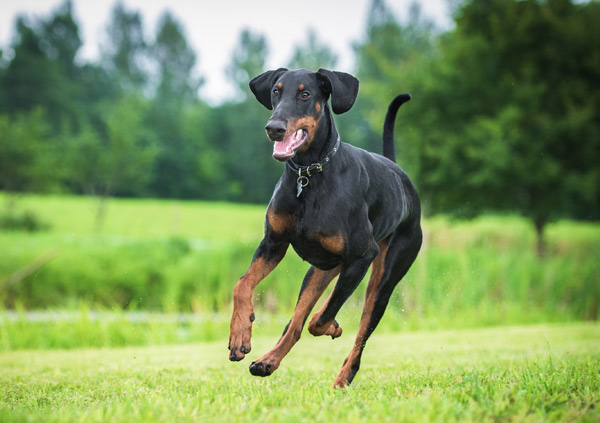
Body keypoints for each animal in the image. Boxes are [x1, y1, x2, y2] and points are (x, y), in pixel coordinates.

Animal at [229, 68, 422, 390]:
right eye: (276, 91)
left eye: (306, 94)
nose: (274, 128)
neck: (308, 175)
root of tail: (401, 175)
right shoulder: (273, 244)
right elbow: (242, 285)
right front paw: (239, 334)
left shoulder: (361, 257)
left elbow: (320, 319)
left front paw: (331, 326)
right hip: (321, 270)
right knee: (296, 322)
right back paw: (268, 361)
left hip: (384, 277)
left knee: (359, 334)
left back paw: (343, 378)